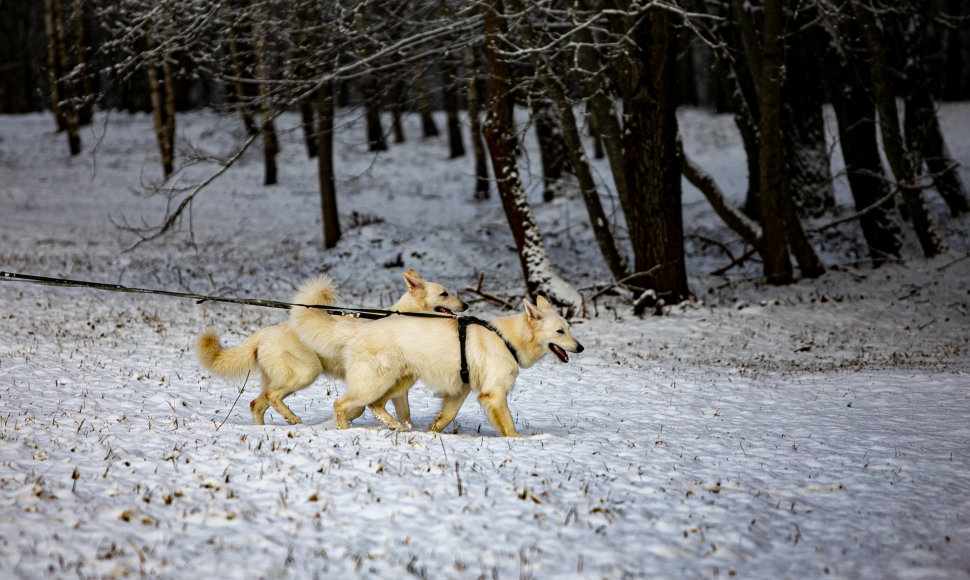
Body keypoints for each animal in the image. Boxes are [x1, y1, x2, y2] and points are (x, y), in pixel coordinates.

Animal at [197, 270, 466, 426]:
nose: (465, 305)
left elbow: (404, 415)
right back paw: (293, 418)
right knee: (272, 397)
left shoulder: (399, 390)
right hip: (306, 372)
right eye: (444, 293)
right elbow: (358, 407)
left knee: (257, 404)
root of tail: (262, 334)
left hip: (282, 378)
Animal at [330, 296, 584, 438]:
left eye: (568, 328)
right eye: (560, 331)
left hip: (397, 381)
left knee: (375, 405)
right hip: (375, 383)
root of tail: (360, 329)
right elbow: (509, 425)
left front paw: (431, 432)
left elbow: (446, 416)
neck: (507, 339)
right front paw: (517, 440)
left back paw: (396, 427)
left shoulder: (460, 391)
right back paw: (344, 431)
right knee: (340, 404)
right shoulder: (494, 393)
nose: (580, 347)